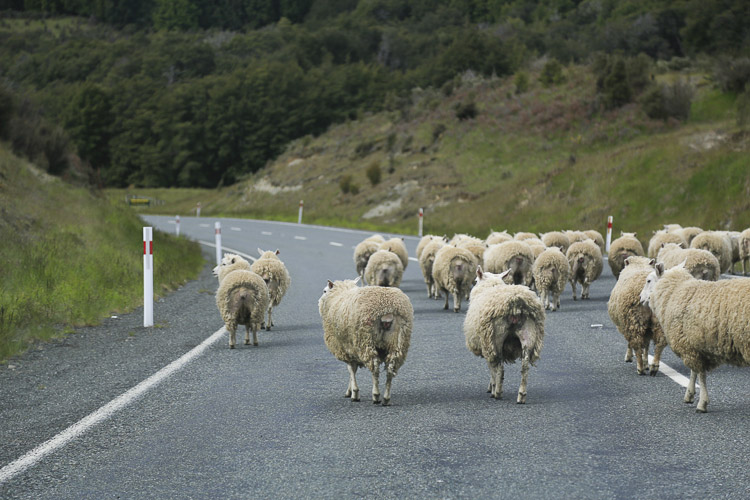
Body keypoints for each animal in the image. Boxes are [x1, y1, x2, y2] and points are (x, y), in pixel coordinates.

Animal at [464, 267, 545, 403]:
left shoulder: (486, 344)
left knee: (500, 368)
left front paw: (492, 387)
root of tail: (515, 302)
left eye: (475, 280)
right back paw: (521, 395)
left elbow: (492, 368)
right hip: (529, 334)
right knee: (525, 367)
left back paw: (497, 392)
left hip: (496, 337)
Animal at [640, 263, 750, 412]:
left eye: (649, 280)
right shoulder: (693, 344)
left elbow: (701, 375)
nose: (640, 298)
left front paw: (702, 403)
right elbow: (694, 372)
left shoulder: (689, 346)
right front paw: (689, 395)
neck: (675, 291)